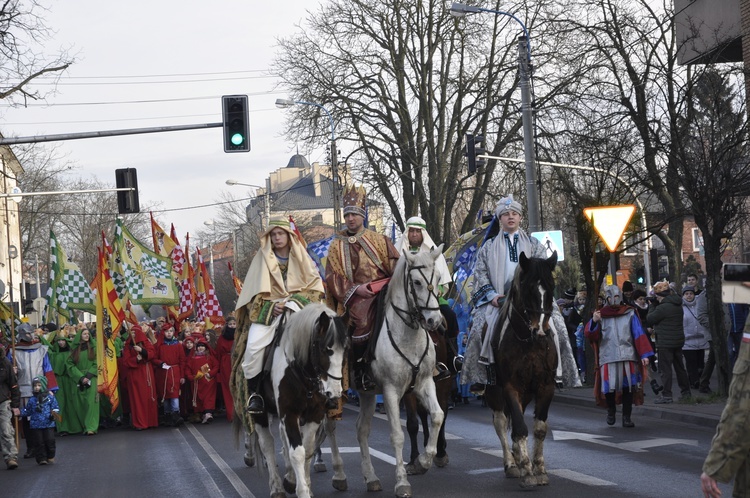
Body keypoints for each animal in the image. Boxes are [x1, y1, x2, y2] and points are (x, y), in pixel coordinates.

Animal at [251, 304, 348, 498]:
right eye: (325, 349)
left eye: (345, 350)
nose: (334, 392)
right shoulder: (289, 414)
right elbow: (297, 452)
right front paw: (302, 491)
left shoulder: (314, 415)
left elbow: (308, 450)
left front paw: (305, 486)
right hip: (261, 414)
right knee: (268, 444)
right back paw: (277, 487)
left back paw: (289, 479)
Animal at [324, 245, 444, 498]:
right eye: (416, 282)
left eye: (438, 278)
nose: (434, 321)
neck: (407, 334)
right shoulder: (390, 390)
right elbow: (397, 436)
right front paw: (402, 482)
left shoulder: (424, 383)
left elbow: (437, 416)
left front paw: (423, 462)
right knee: (329, 426)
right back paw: (337, 475)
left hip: (367, 393)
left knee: (361, 430)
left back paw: (371, 478)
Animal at [484, 251, 560, 488]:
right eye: (528, 289)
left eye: (551, 287)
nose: (541, 331)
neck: (529, 343)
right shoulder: (510, 387)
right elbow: (519, 426)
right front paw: (527, 469)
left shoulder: (546, 386)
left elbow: (539, 429)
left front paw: (539, 468)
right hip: (494, 390)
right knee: (501, 422)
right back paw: (511, 464)